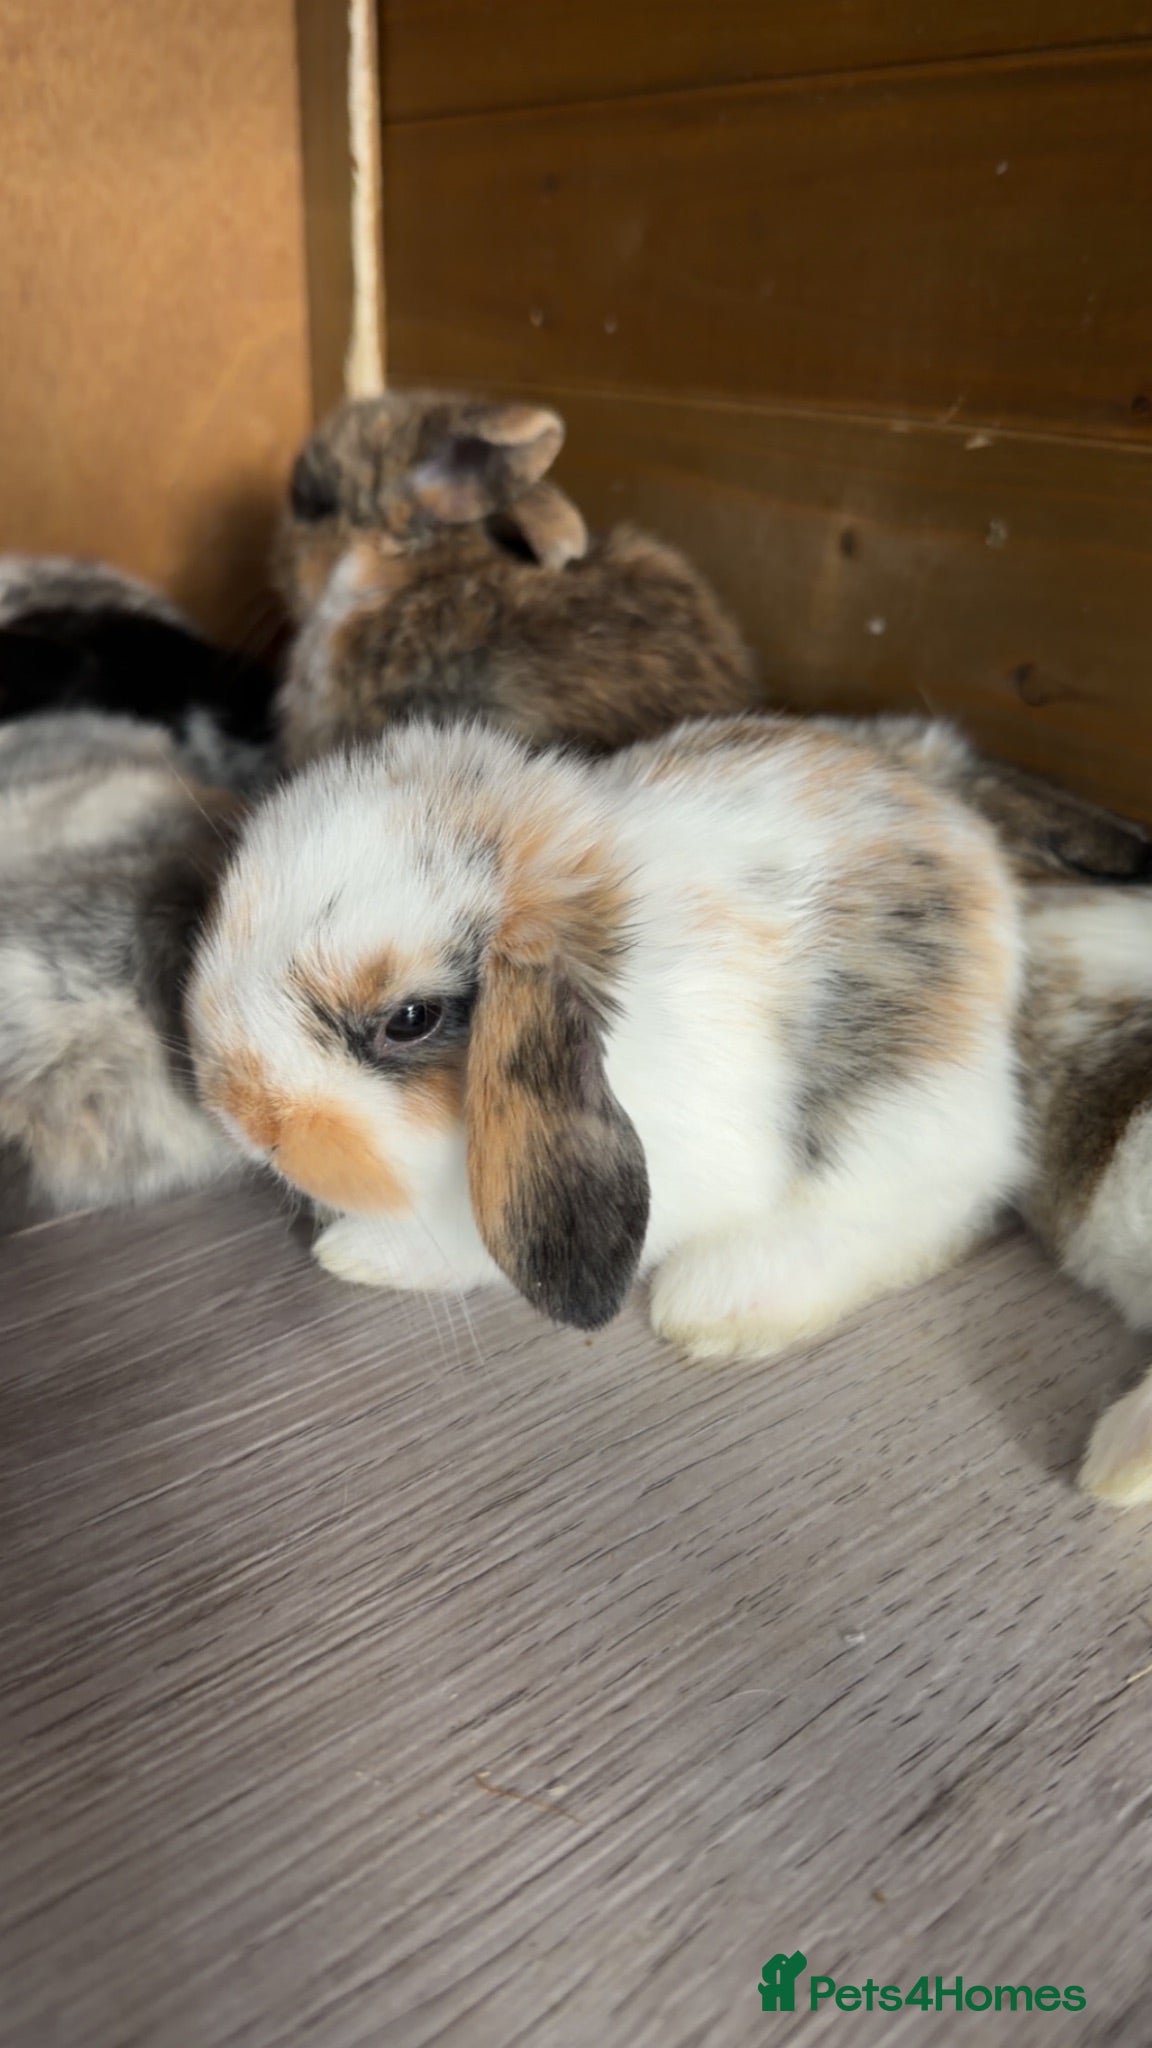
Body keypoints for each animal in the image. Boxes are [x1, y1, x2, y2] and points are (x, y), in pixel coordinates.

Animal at [187, 713, 1030, 1393]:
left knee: (936, 1205)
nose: (247, 1121)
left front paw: (356, 1250)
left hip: (893, 1121)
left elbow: (467, 1250)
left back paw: (720, 1301)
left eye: (410, 1020)